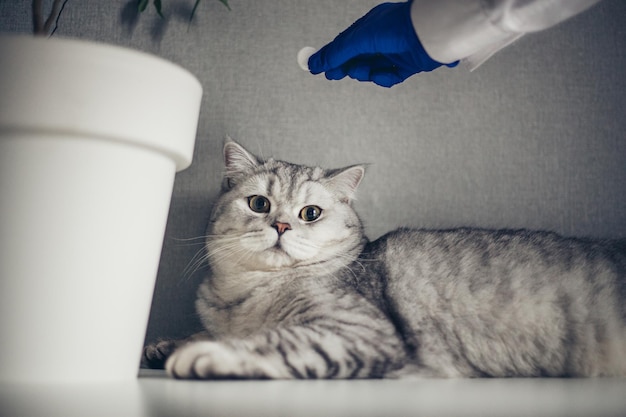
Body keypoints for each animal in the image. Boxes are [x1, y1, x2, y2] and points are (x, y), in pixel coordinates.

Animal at [143, 139, 624, 376]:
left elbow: (277, 341)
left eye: (310, 213)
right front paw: (163, 345)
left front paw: (205, 352)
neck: (241, 298)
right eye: (259, 204)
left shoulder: (359, 330)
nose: (280, 226)